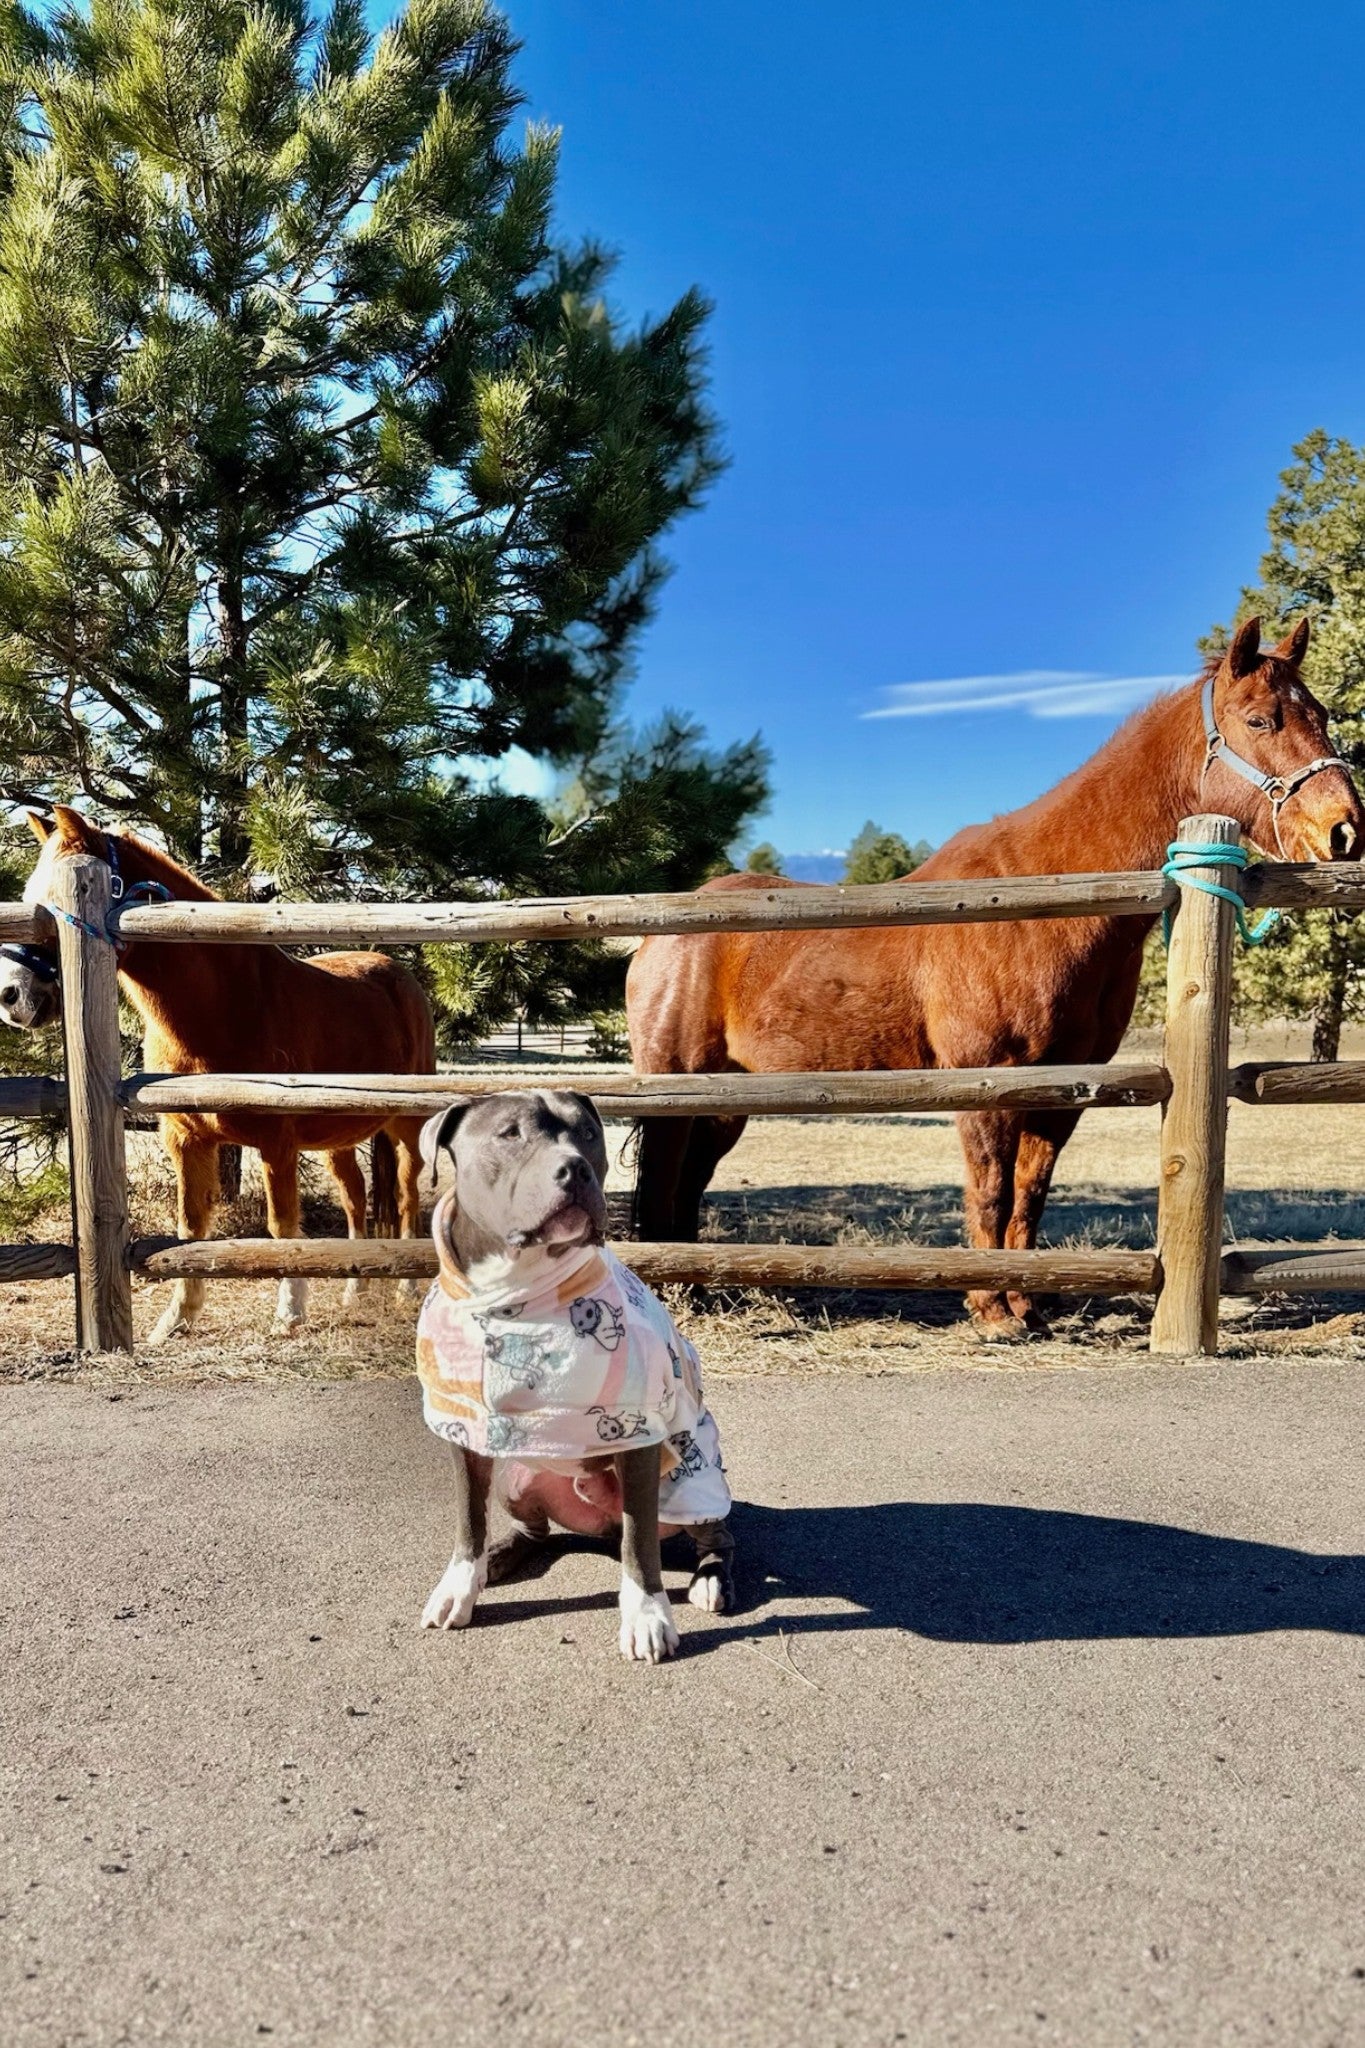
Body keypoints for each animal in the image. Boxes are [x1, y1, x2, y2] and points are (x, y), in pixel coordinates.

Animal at [10, 806, 435, 1351]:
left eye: (51, 903)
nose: (10, 995)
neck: (227, 1004)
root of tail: (399, 977)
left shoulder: (277, 1141)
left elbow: (282, 1227)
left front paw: (289, 1314)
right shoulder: (187, 1140)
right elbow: (191, 1226)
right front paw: (177, 1318)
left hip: (406, 1125)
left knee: (405, 1196)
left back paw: (406, 1288)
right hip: (336, 1136)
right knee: (355, 1197)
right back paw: (354, 1291)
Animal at [419, 1089, 732, 1662]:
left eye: (587, 1132)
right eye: (510, 1134)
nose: (576, 1169)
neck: (511, 1292)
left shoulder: (638, 1430)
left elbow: (640, 1543)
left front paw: (647, 1616)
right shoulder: (462, 1424)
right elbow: (469, 1520)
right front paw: (458, 1587)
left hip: (693, 1481)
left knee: (711, 1535)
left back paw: (711, 1579)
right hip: (519, 1478)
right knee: (538, 1532)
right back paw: (502, 1554)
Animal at [626, 614, 1365, 1335]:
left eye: (1321, 713)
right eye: (1260, 720)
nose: (1344, 830)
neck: (1048, 907)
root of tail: (654, 938)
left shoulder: (1063, 1091)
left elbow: (1029, 1195)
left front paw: (1026, 1304)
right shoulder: (987, 1081)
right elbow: (990, 1188)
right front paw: (989, 1311)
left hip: (726, 1099)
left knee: (687, 1184)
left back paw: (696, 1290)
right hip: (675, 1084)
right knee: (661, 1179)